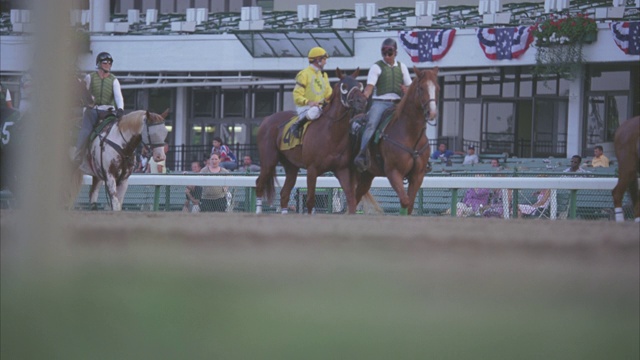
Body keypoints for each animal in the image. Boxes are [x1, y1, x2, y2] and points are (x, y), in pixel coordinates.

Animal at [254, 67, 368, 214]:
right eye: (344, 86)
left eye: (359, 85)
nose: (362, 101)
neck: (331, 133)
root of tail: (266, 119)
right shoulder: (312, 169)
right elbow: (310, 201)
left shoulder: (341, 169)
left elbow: (351, 199)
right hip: (269, 161)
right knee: (259, 184)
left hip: (291, 166)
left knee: (284, 193)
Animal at [350, 66, 440, 215]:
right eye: (421, 88)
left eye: (437, 88)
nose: (431, 113)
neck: (410, 135)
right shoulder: (394, 172)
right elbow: (405, 201)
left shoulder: (417, 175)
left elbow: (409, 205)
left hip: (367, 176)